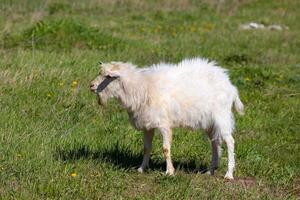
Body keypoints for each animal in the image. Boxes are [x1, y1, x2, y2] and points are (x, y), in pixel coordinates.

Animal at [89, 57, 244, 180]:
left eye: (108, 76)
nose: (91, 86)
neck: (143, 87)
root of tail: (230, 86)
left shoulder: (163, 124)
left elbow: (165, 149)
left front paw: (169, 172)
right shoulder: (148, 125)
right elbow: (146, 148)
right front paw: (141, 169)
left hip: (222, 116)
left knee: (230, 141)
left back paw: (229, 174)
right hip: (210, 123)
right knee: (215, 143)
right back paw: (210, 171)